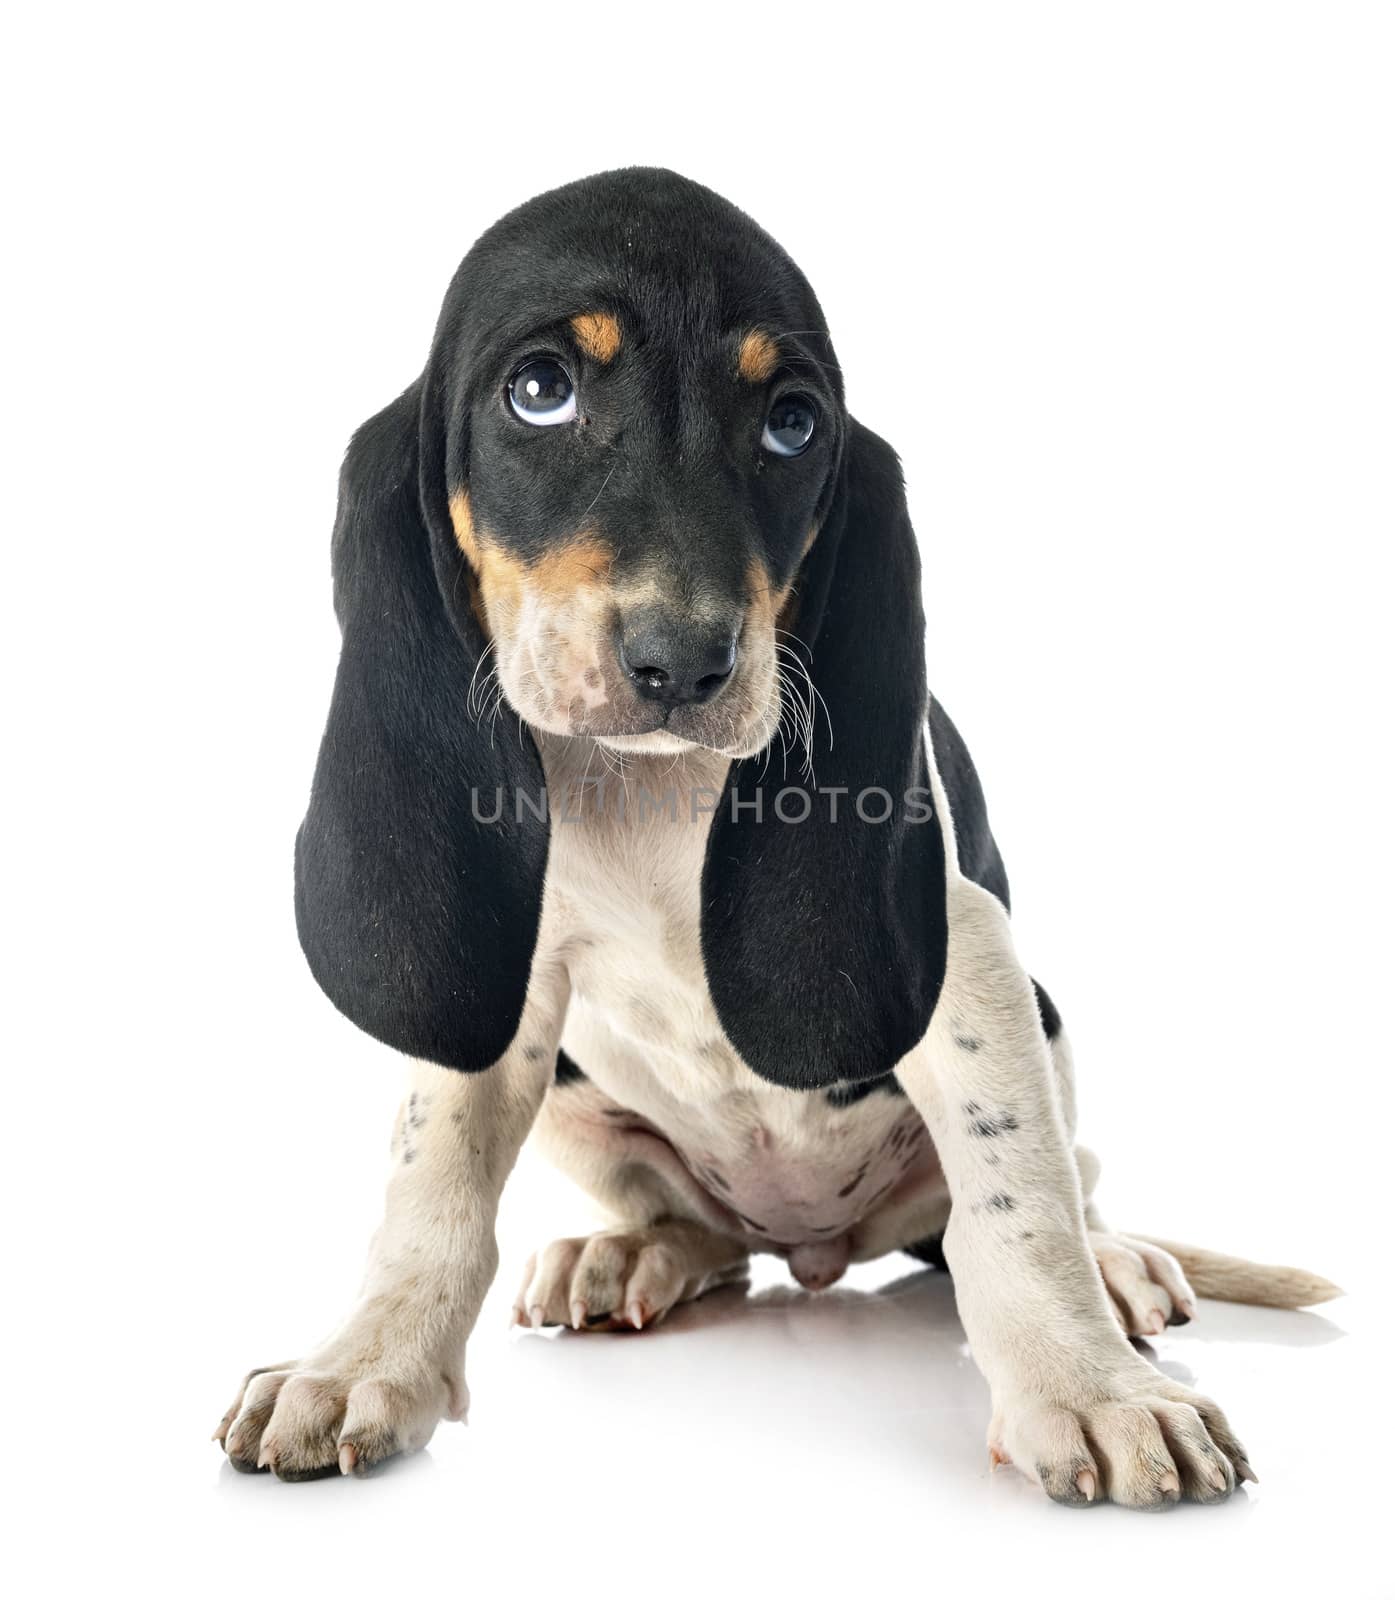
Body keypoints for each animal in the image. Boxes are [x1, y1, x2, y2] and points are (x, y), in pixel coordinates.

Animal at [212, 168, 1337, 1504]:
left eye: (793, 425)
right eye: (540, 389)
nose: (684, 662)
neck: (649, 791)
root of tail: (815, 1244)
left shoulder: (968, 953)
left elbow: (1017, 1207)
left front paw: (1090, 1387)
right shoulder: (497, 984)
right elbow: (429, 1190)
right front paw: (364, 1364)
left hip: (1045, 1023)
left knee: (1057, 1192)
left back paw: (1117, 1270)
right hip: (585, 1103)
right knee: (705, 1233)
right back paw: (629, 1253)